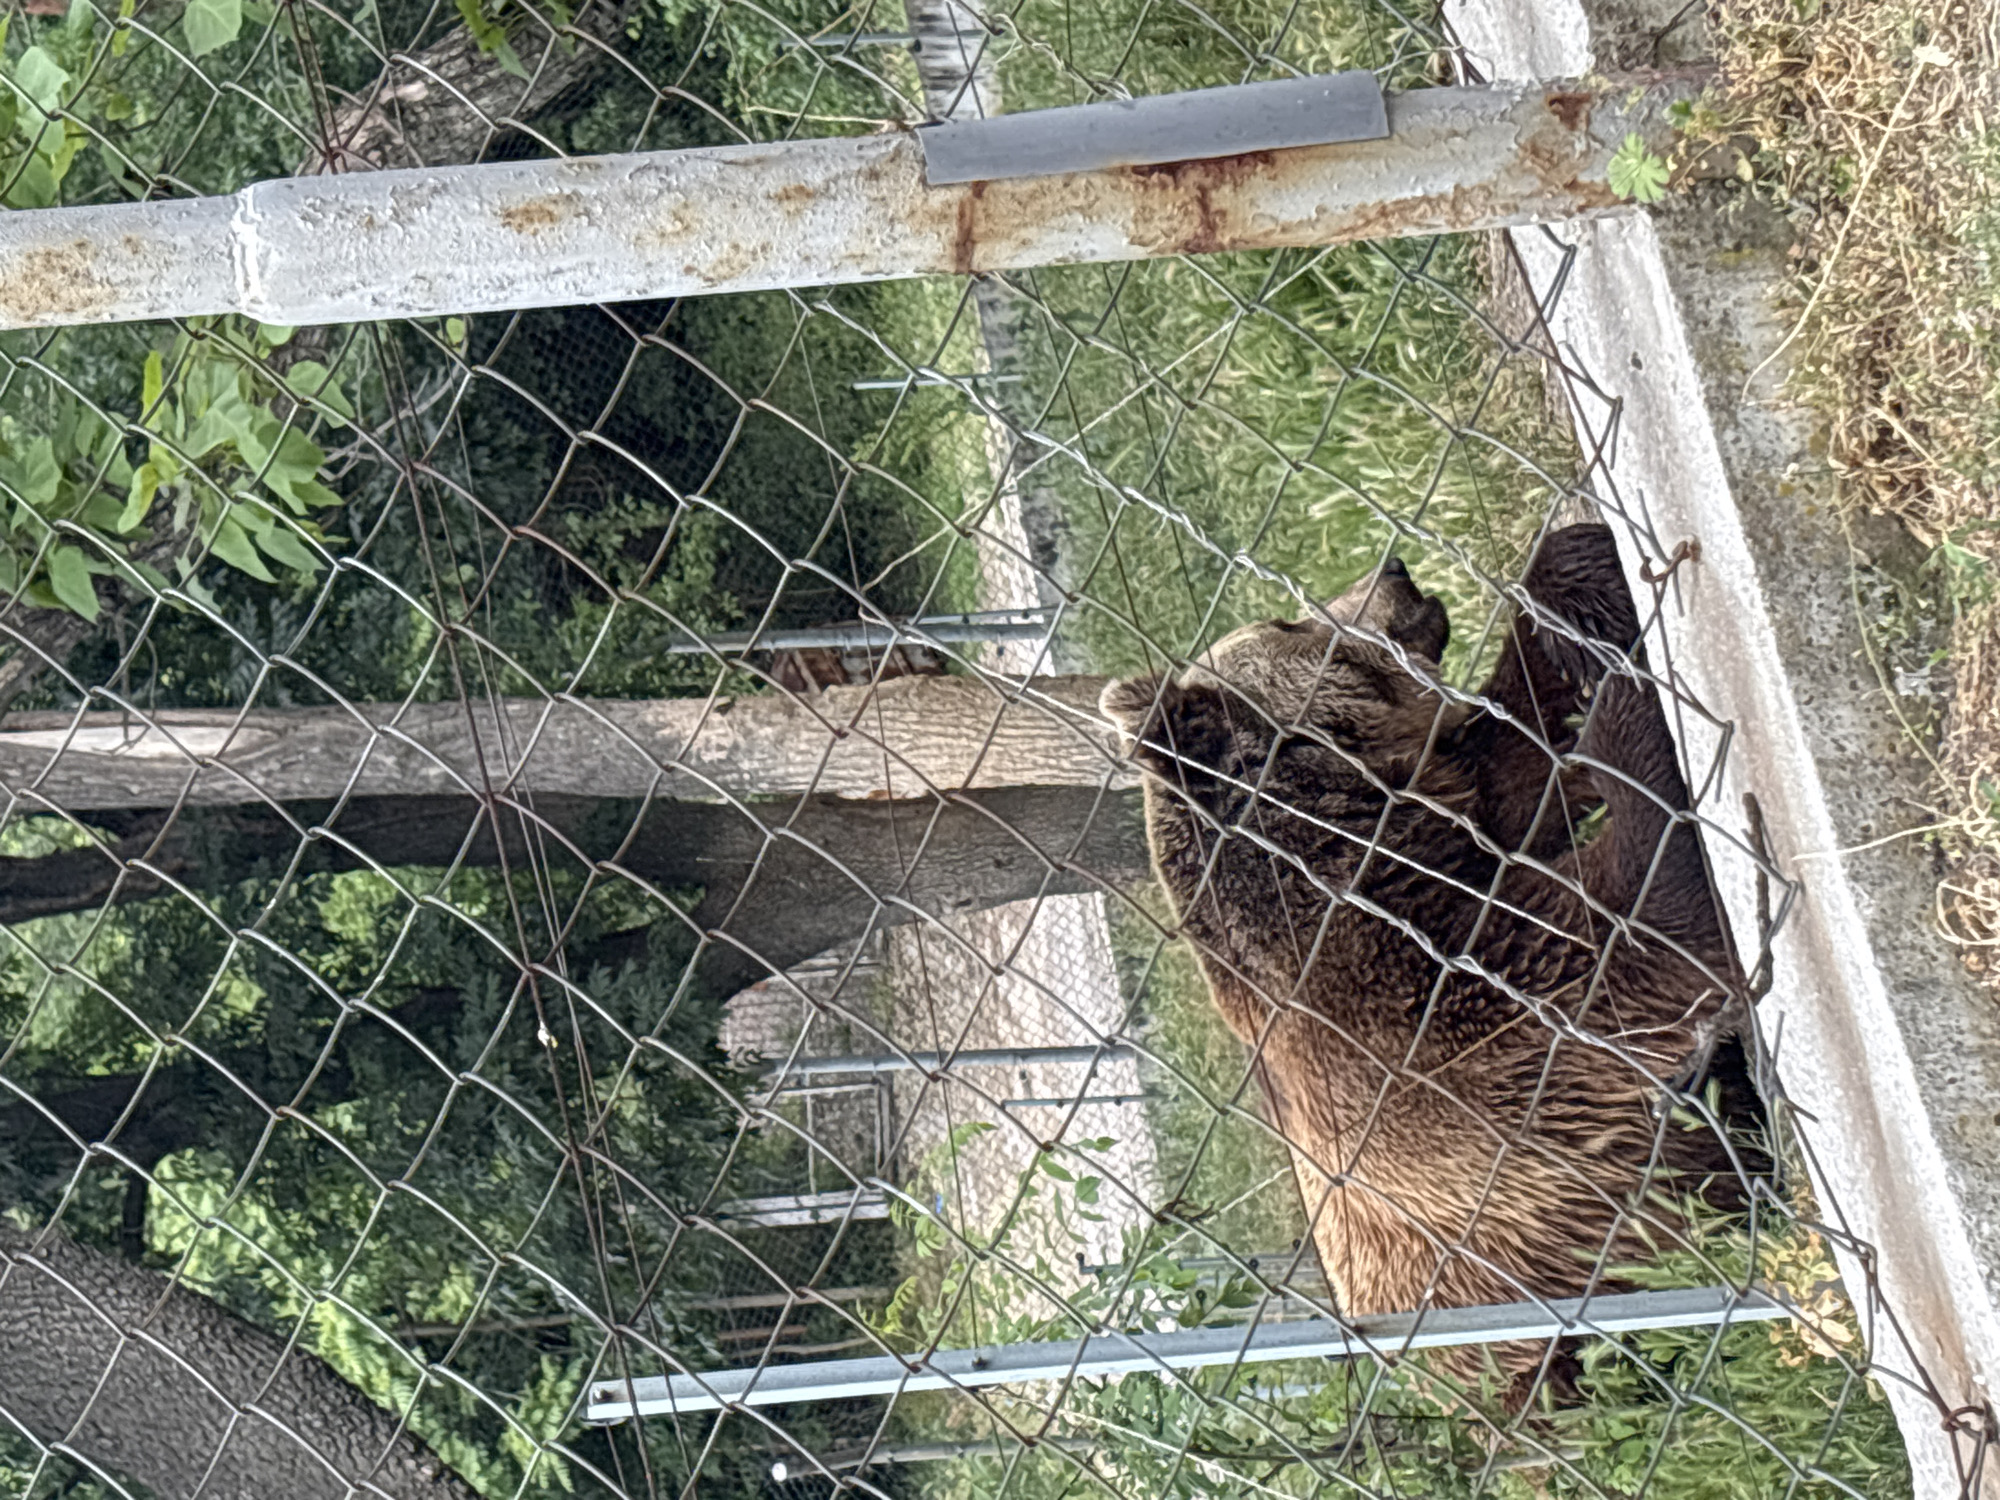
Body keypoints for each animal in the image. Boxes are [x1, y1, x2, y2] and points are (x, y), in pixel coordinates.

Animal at [1100, 524, 1758, 1395]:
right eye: (1286, 620)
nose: (1395, 570)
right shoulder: (1442, 1017)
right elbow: (1645, 938)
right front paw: (1627, 700)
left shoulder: (1460, 840)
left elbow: (1518, 748)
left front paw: (1582, 581)